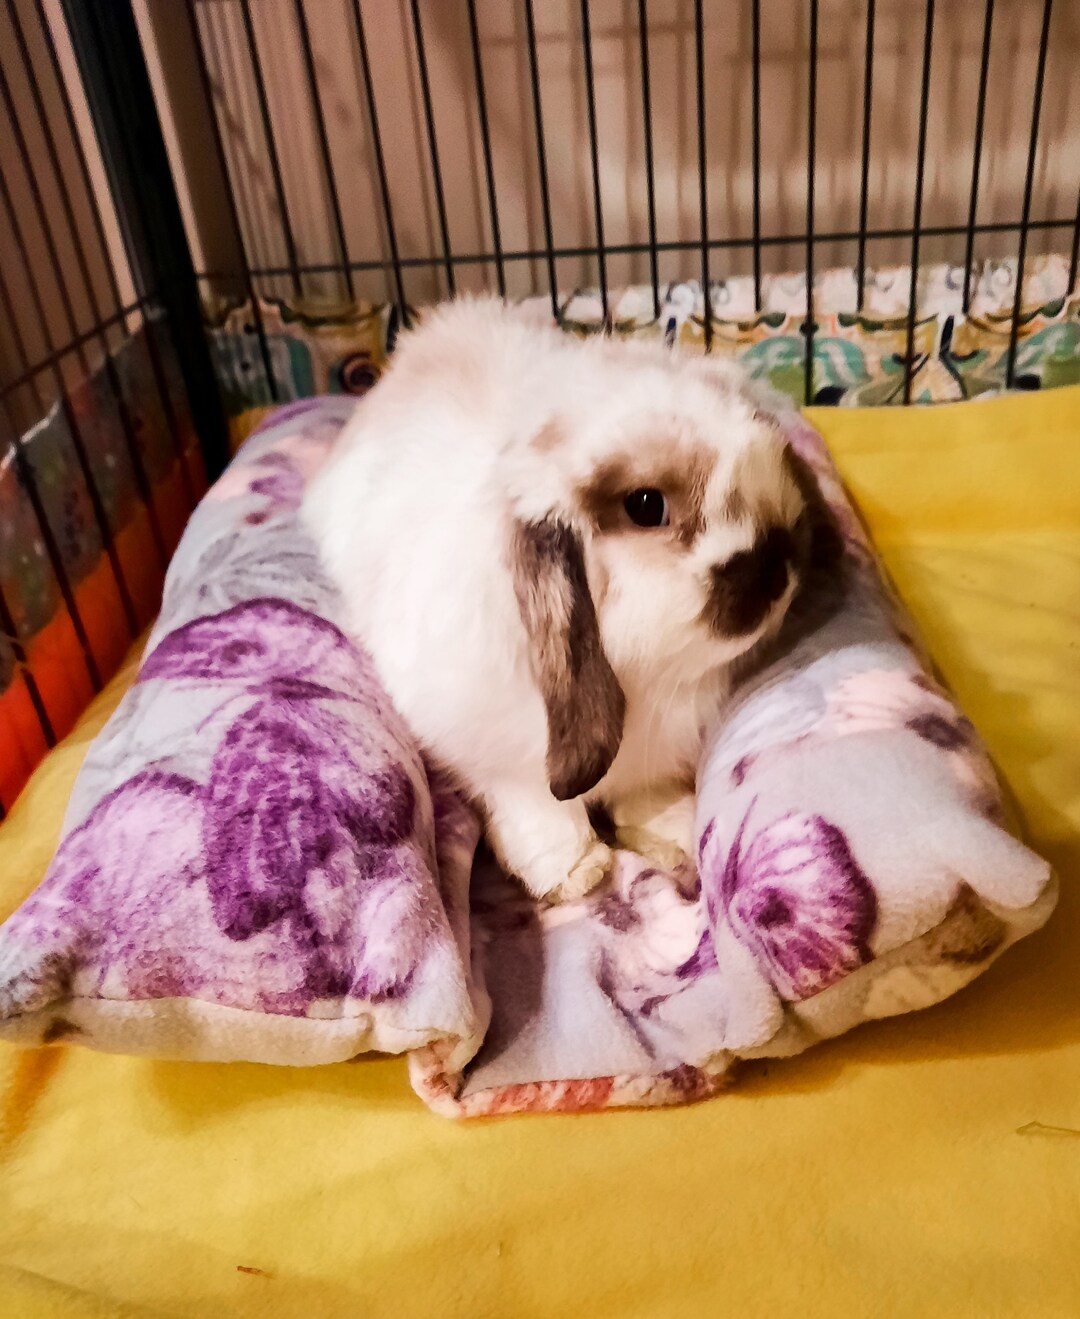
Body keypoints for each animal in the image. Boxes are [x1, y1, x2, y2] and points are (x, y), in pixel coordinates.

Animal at [303, 296, 812, 903]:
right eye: (646, 505)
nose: (778, 572)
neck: (646, 681)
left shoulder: (654, 758)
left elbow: (649, 794)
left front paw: (675, 834)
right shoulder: (500, 763)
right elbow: (539, 810)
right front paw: (576, 875)